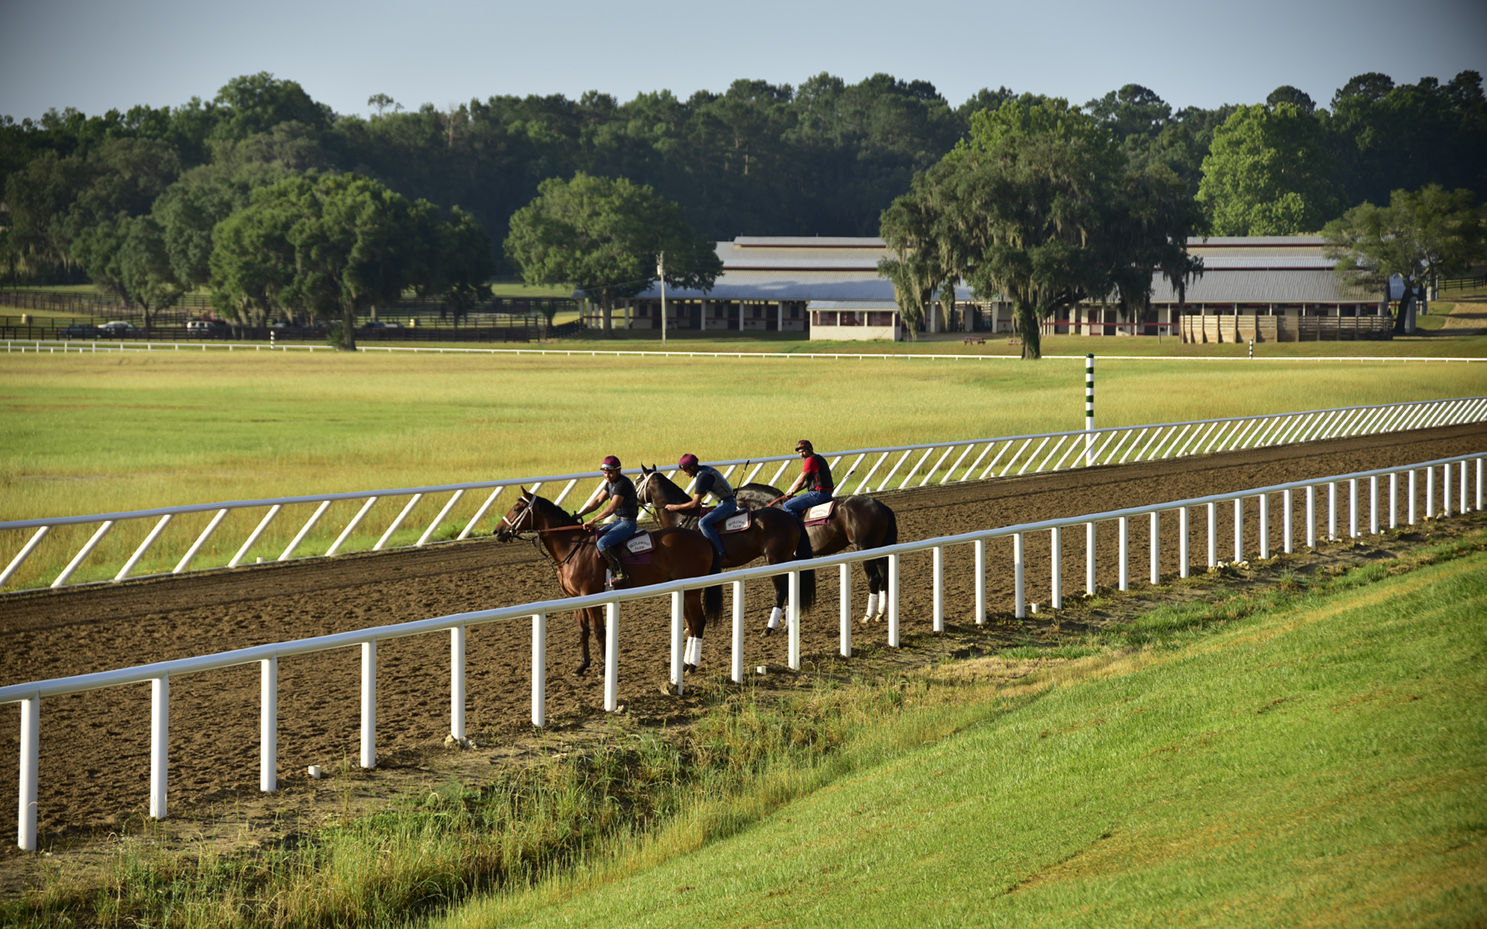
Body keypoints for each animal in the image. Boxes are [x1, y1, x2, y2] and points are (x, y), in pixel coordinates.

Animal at [496, 490, 722, 677]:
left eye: (517, 508)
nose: (497, 531)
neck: (574, 547)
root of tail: (702, 538)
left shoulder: (590, 596)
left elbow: (599, 631)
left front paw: (604, 668)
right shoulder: (574, 599)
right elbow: (583, 631)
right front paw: (582, 666)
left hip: (692, 590)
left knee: (698, 622)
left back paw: (691, 666)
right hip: (681, 588)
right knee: (691, 624)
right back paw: (684, 664)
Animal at [633, 463, 820, 630]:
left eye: (636, 481)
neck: (684, 518)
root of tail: (790, 517)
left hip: (775, 559)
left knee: (781, 591)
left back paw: (769, 627)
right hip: (786, 559)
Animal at [755, 478, 892, 624]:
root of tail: (880, 506)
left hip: (865, 549)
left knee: (874, 578)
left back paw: (867, 616)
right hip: (879, 549)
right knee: (884, 577)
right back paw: (880, 614)